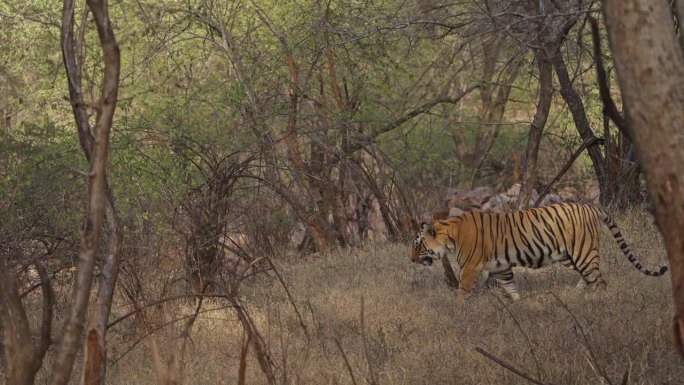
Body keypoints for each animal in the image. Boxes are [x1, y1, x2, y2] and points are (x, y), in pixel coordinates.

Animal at [412, 202, 668, 302]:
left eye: (417, 244)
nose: (412, 260)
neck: (450, 234)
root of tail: (591, 205)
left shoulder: (470, 267)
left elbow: (462, 290)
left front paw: (458, 306)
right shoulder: (502, 267)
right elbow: (510, 286)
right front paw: (520, 304)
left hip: (583, 251)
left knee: (598, 279)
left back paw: (596, 301)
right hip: (569, 256)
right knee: (590, 277)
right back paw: (576, 296)